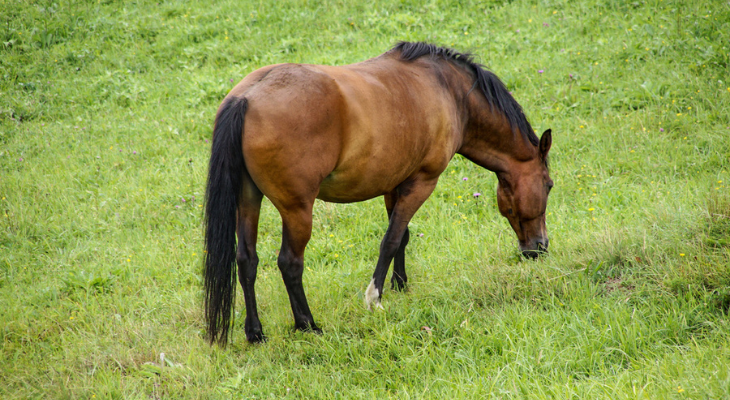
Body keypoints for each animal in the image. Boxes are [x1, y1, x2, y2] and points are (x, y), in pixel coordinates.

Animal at [202, 41, 548, 346]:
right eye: (549, 185)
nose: (540, 247)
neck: (449, 91)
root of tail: (246, 97)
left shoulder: (395, 184)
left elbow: (401, 237)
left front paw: (400, 284)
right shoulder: (422, 182)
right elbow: (390, 240)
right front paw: (375, 297)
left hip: (248, 200)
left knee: (247, 260)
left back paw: (255, 333)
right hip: (297, 209)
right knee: (290, 263)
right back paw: (307, 324)